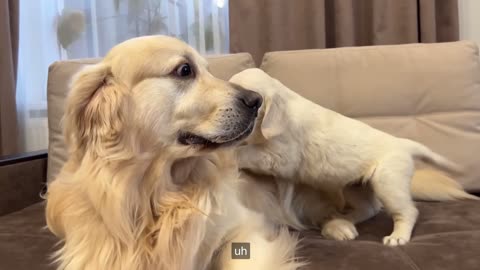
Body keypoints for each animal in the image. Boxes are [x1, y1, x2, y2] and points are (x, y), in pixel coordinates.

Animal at [230, 68, 472, 246]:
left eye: (252, 100)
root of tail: (404, 144)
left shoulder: (280, 154)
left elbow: (250, 152)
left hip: (388, 181)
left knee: (408, 211)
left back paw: (397, 236)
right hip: (355, 186)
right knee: (369, 208)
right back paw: (345, 219)